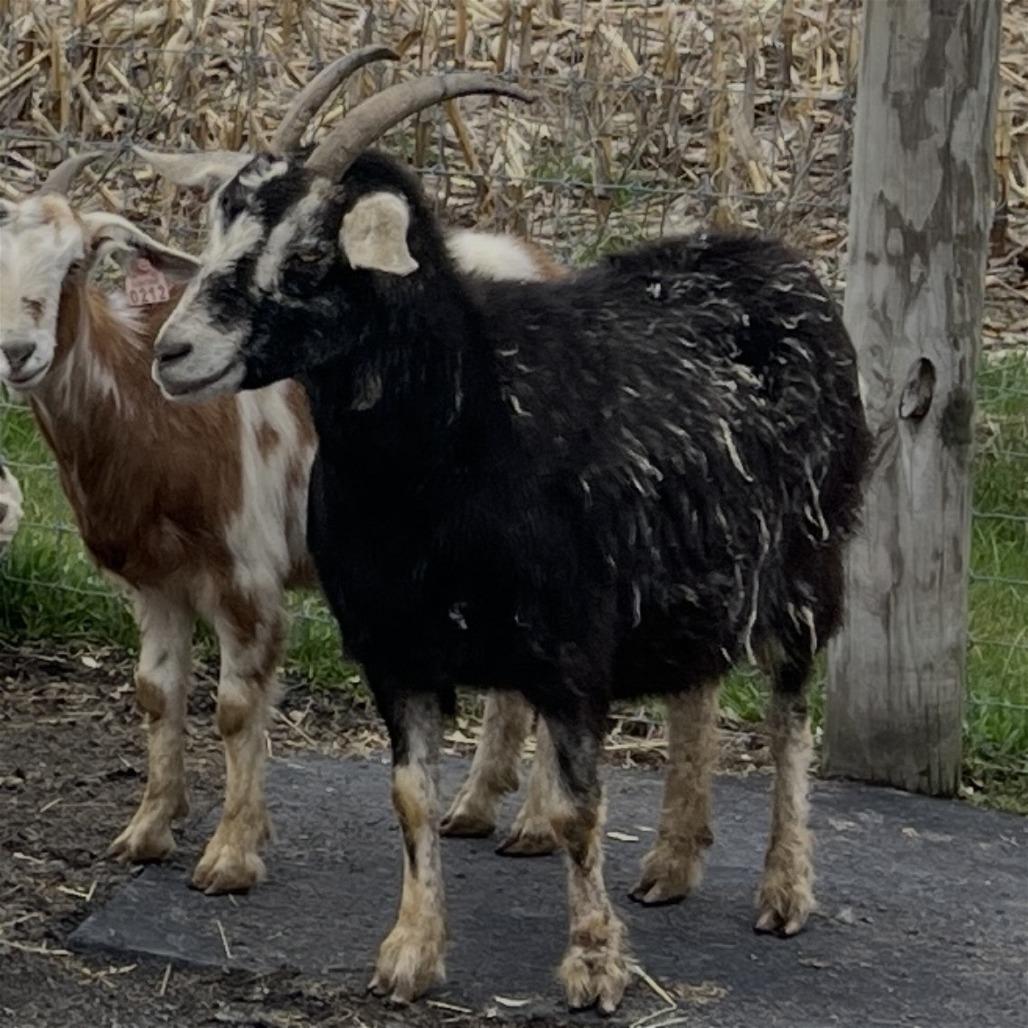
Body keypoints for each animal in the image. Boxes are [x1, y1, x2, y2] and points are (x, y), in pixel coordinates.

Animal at [0, 60, 564, 892]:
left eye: (77, 262)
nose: (17, 351)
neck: (150, 418)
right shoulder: (154, 584)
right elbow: (155, 695)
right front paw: (147, 831)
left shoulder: (247, 578)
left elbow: (236, 709)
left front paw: (231, 855)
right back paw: (476, 809)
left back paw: (538, 825)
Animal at [147, 70, 872, 1012]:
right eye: (216, 226)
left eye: (307, 259)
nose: (173, 352)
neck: (464, 428)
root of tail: (777, 259)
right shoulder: (395, 650)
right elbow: (410, 797)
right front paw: (410, 954)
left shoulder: (570, 650)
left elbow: (577, 809)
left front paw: (595, 966)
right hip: (691, 577)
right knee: (697, 692)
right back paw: (673, 862)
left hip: (806, 568)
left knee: (789, 720)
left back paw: (784, 891)